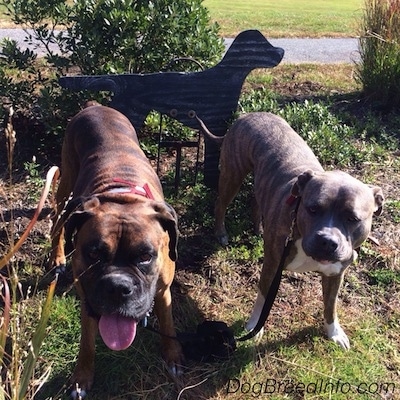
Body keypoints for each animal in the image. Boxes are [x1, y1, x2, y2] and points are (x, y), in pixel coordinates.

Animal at [50, 101, 183, 396]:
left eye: (145, 256)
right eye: (93, 253)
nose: (117, 287)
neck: (121, 196)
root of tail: (94, 105)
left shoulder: (163, 291)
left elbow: (169, 323)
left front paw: (173, 356)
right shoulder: (87, 300)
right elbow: (87, 343)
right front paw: (81, 378)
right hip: (66, 187)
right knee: (57, 223)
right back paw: (57, 259)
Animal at [197, 111, 384, 348]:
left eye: (352, 218)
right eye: (313, 209)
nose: (326, 241)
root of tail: (247, 115)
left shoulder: (336, 274)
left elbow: (330, 306)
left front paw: (334, 332)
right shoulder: (271, 266)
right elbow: (263, 296)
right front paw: (254, 327)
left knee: (256, 201)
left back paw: (259, 230)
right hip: (233, 174)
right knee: (220, 203)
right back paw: (221, 233)